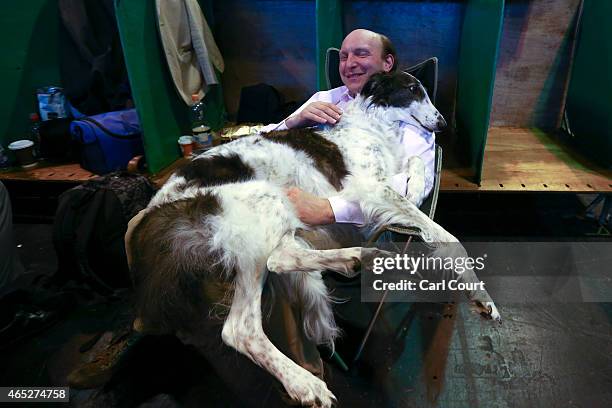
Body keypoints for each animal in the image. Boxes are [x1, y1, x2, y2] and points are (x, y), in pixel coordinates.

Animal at [130, 71, 502, 406]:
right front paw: (481, 296)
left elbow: (416, 166)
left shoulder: (384, 187)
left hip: (270, 221)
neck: (371, 124)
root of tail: (158, 211)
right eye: (413, 89)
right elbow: (448, 237)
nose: (443, 124)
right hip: (261, 208)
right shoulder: (370, 189)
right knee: (240, 327)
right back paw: (303, 383)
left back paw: (361, 257)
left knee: (282, 260)